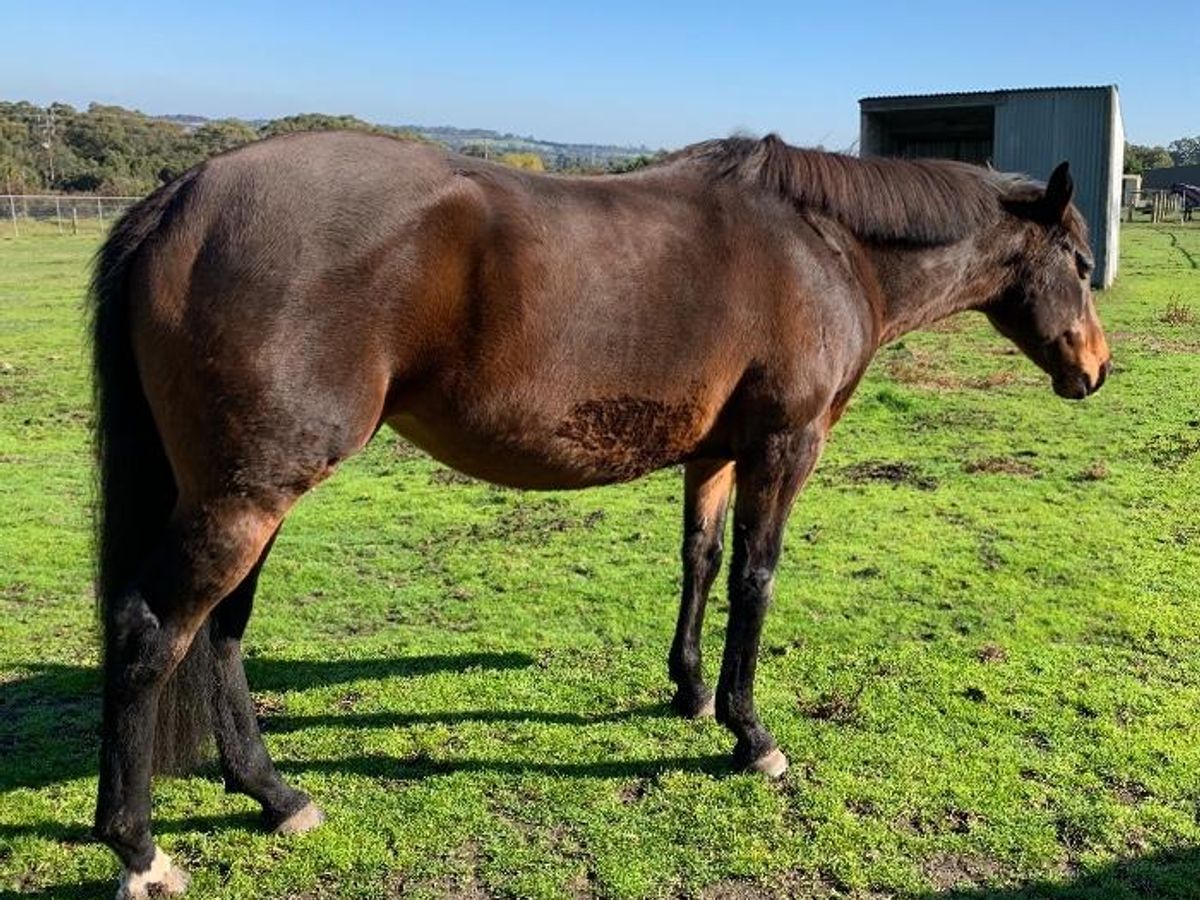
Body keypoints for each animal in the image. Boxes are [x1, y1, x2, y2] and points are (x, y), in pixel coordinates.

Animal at [88, 131, 1110, 898]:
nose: (1097, 370)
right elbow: (755, 579)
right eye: (1084, 261)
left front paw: (689, 693)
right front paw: (751, 735)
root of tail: (180, 198)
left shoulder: (714, 452)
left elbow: (701, 560)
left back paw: (274, 795)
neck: (823, 247)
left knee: (219, 633)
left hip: (243, 494)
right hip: (247, 495)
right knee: (154, 633)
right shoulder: (785, 447)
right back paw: (140, 850)